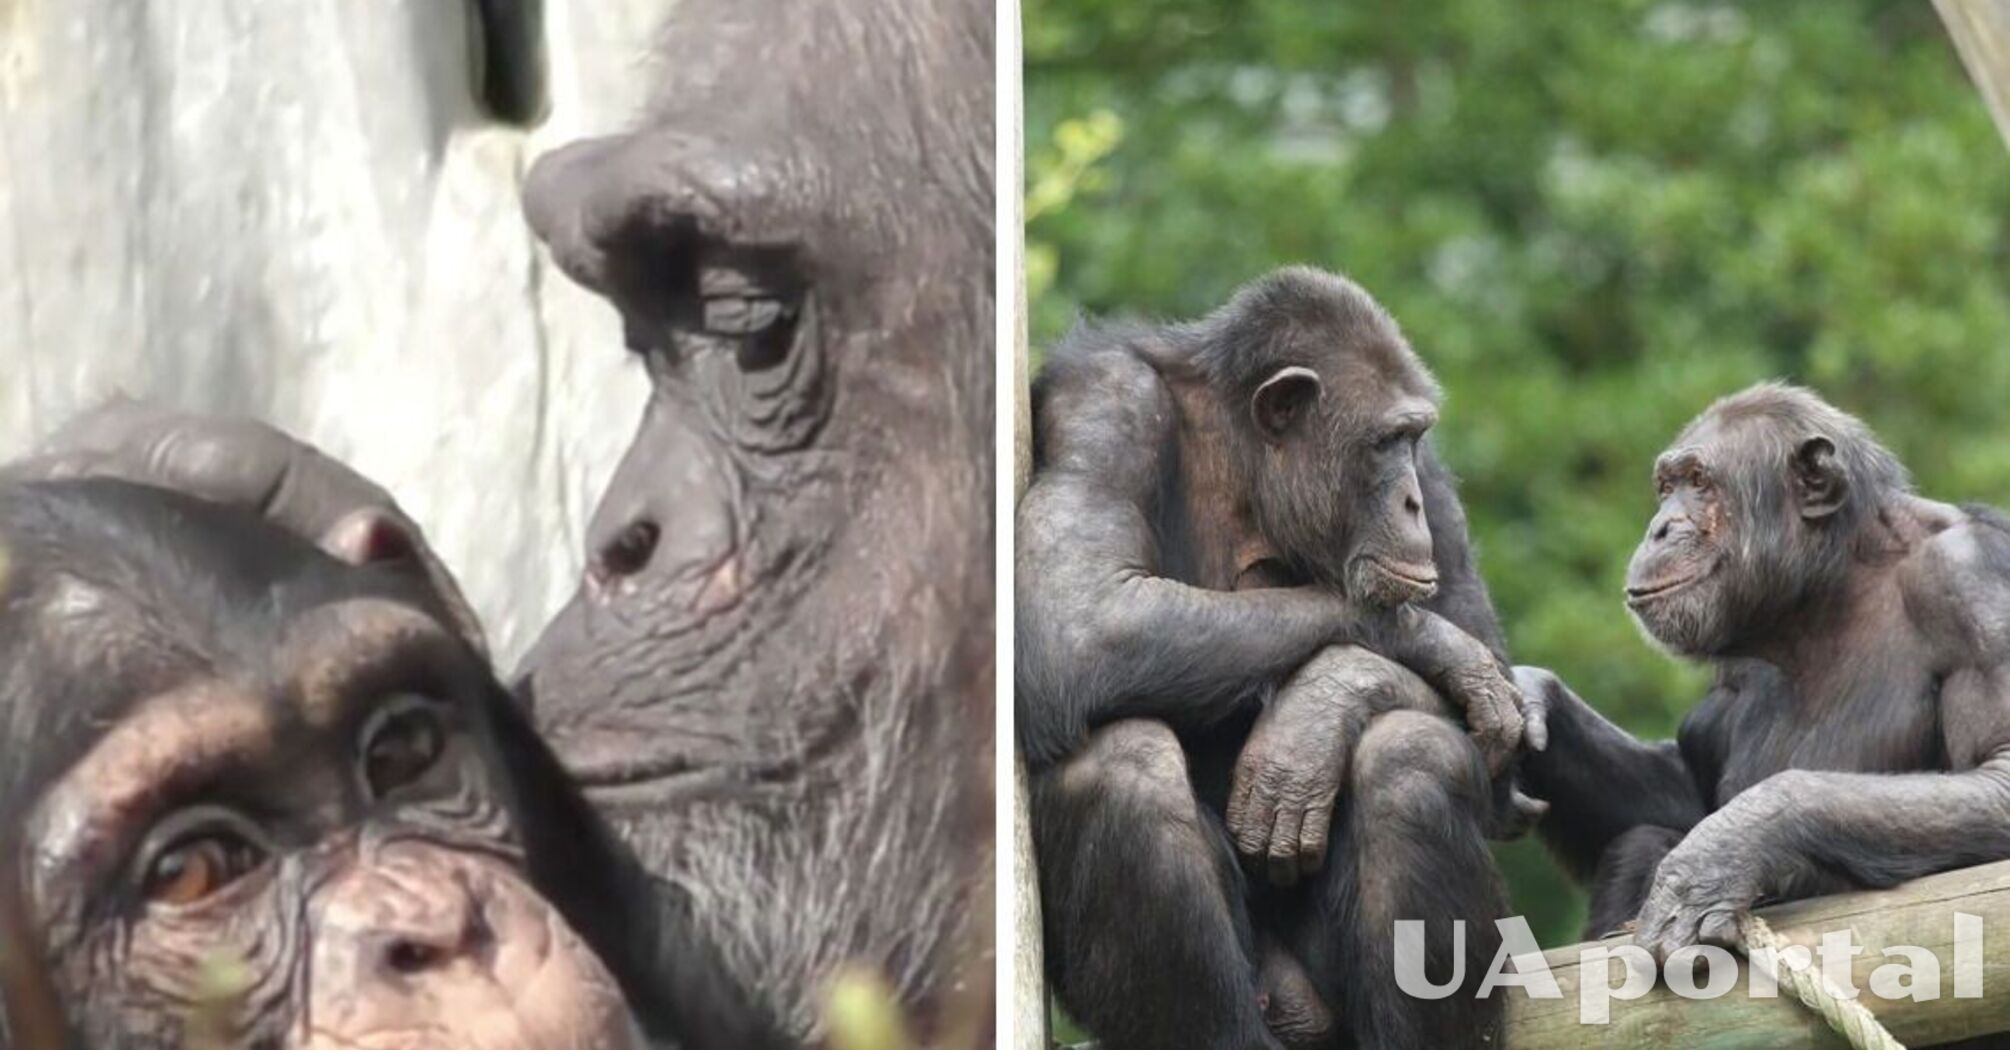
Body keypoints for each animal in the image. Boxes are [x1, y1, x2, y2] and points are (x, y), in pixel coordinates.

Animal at [1021, 267, 1535, 1045]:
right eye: (1385, 441)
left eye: (1412, 437)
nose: (1410, 502)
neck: (1246, 466)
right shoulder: (1102, 404)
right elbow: (1077, 614)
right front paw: (1429, 644)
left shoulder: (1439, 480)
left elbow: (1501, 724)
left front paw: (1321, 709)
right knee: (1121, 768)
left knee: (1411, 758)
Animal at [1511, 380, 2010, 961]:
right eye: (1666, 487)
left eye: (1700, 482)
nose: (1660, 528)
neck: (1829, 587)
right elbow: (1683, 790)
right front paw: (1530, 697)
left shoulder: (1969, 582)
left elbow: (1998, 773)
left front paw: (1722, 851)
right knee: (1641, 837)